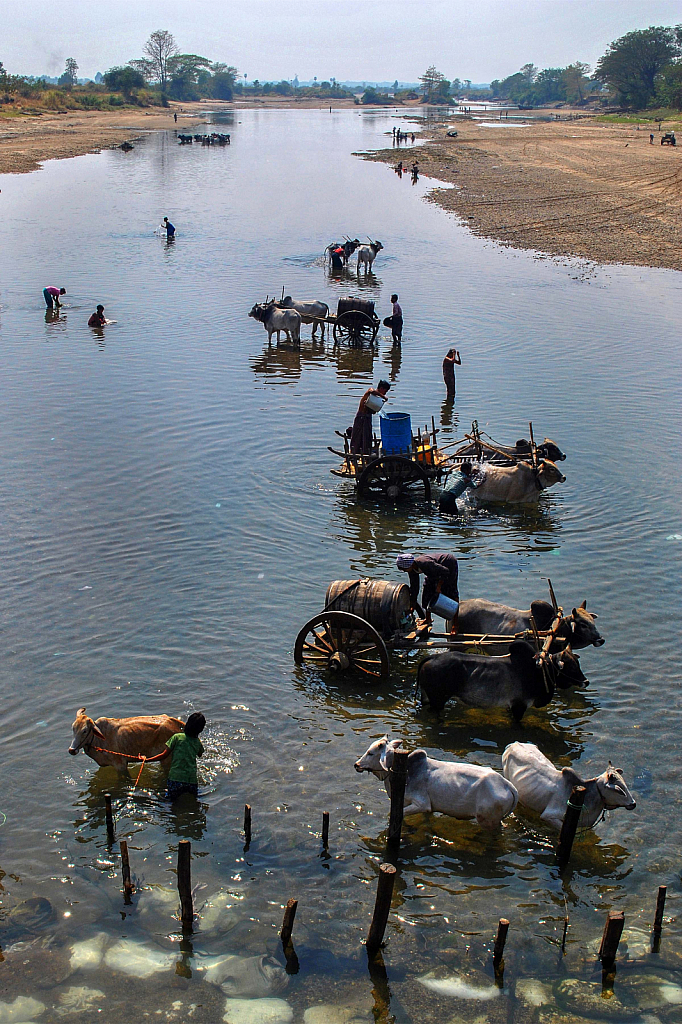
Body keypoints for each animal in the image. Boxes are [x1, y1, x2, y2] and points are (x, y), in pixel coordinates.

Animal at [352, 733, 518, 827]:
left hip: (488, 820)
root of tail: (507, 785)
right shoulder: (427, 808)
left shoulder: (422, 804)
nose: (356, 765)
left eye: (371, 753)